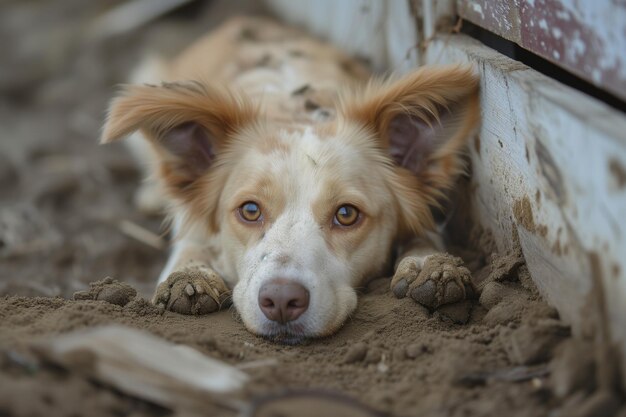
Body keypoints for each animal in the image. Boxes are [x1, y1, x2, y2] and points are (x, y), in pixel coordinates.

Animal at [101, 16, 478, 342]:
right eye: (250, 210)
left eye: (346, 214)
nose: (281, 301)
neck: (296, 108)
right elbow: (190, 240)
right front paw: (190, 274)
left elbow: (426, 234)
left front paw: (429, 263)